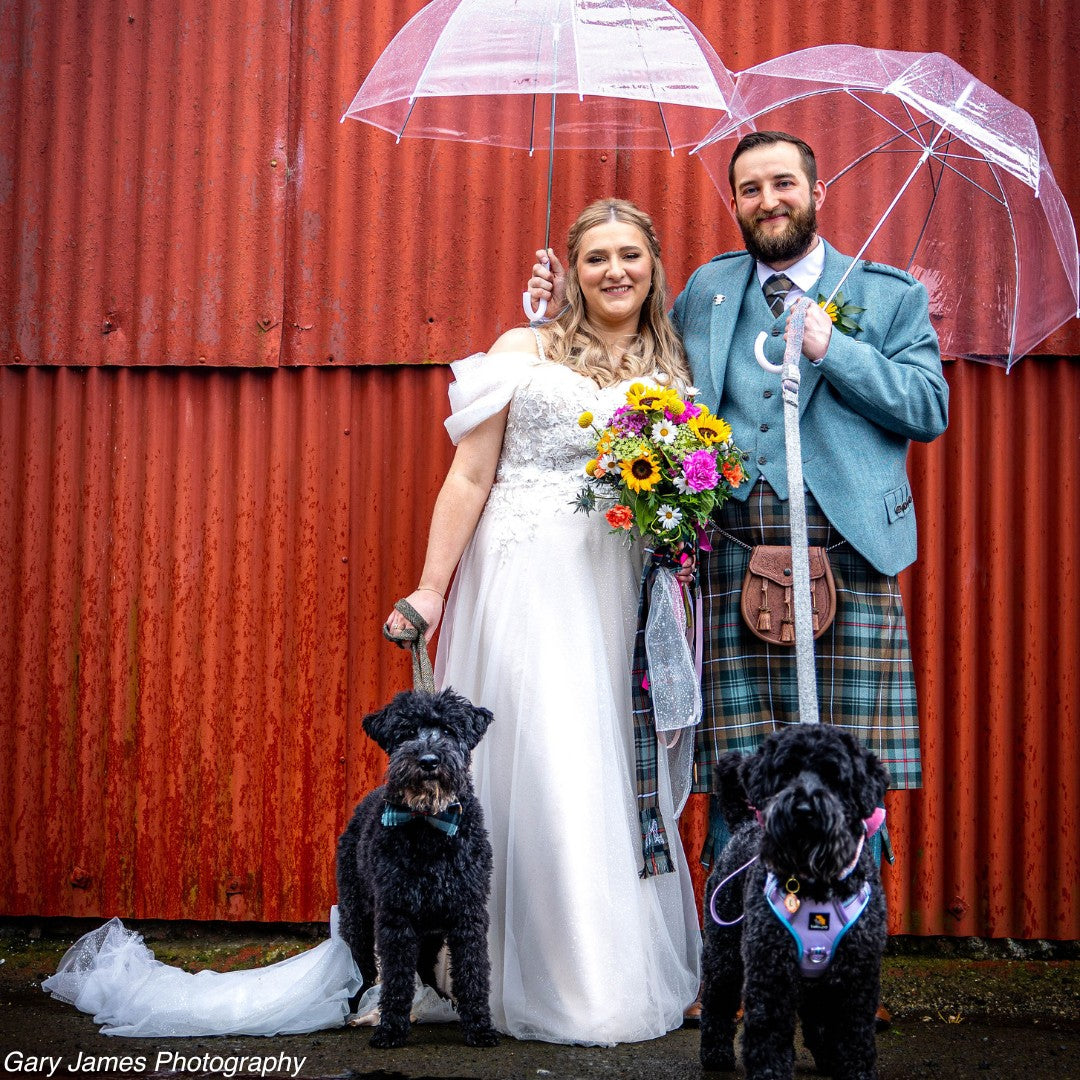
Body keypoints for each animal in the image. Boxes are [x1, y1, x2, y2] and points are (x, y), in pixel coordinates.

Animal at [334, 686, 498, 1049]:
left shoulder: (467, 912)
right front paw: (390, 1030)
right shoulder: (395, 915)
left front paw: (480, 1027)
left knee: (424, 964)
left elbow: (473, 971)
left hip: (431, 929)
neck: (429, 826)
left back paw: (436, 998)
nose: (428, 761)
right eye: (406, 732)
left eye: (449, 730)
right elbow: (396, 978)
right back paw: (354, 1004)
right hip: (356, 914)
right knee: (360, 964)